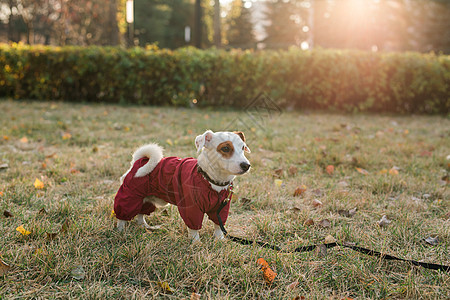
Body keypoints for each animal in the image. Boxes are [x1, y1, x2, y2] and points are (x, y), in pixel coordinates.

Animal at [114, 131, 251, 241]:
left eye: (243, 147)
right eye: (226, 148)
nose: (246, 165)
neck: (211, 181)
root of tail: (140, 160)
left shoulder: (221, 208)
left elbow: (218, 225)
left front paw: (220, 239)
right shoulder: (191, 208)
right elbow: (194, 228)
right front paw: (196, 243)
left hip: (146, 199)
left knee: (141, 214)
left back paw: (144, 226)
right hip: (131, 196)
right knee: (123, 216)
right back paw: (120, 231)